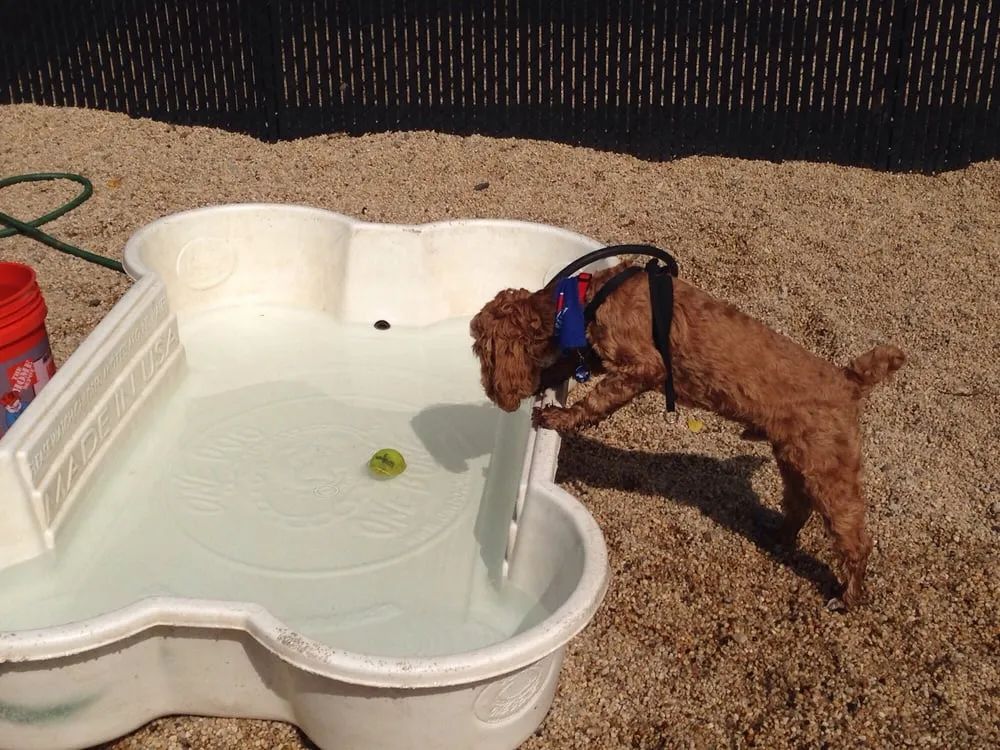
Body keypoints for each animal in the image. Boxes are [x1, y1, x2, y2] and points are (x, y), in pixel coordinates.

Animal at [469, 260, 905, 609]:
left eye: (479, 350)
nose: (492, 393)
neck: (581, 302)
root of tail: (848, 381)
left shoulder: (644, 365)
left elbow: (595, 400)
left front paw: (558, 416)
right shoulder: (600, 356)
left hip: (828, 469)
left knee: (855, 538)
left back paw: (848, 595)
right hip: (794, 460)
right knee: (798, 505)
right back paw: (778, 535)